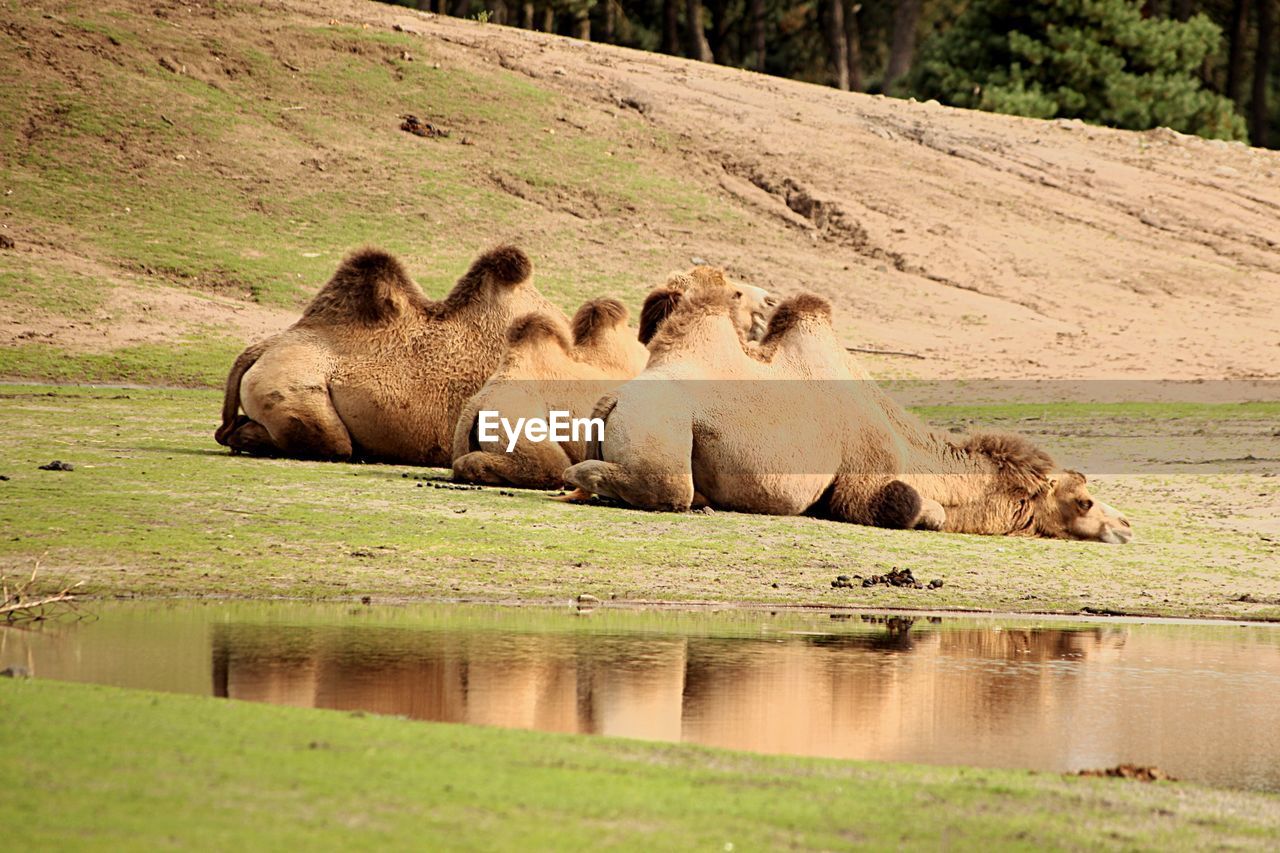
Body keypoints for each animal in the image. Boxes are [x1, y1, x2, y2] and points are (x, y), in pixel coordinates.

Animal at [560, 289, 1131, 540]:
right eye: (1084, 500)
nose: (1125, 524)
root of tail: (614, 400)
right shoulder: (865, 475)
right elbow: (910, 505)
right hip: (664, 427)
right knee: (663, 487)